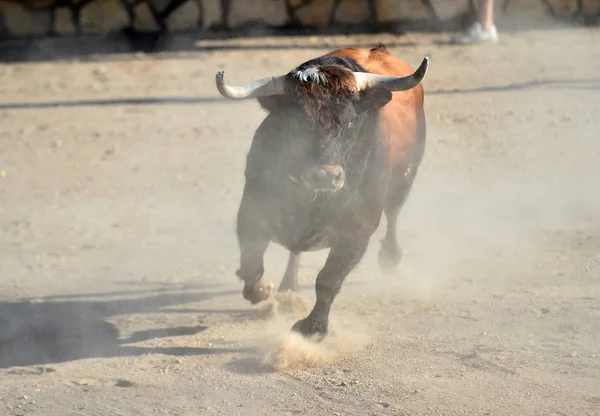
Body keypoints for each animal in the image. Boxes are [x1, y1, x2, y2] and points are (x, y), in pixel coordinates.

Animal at [214, 44, 426, 338]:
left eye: (350, 122)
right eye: (295, 123)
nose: (324, 175)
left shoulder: (358, 230)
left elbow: (328, 279)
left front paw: (312, 327)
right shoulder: (253, 210)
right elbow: (251, 264)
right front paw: (263, 289)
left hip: (406, 177)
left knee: (393, 211)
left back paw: (390, 257)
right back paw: (288, 286)